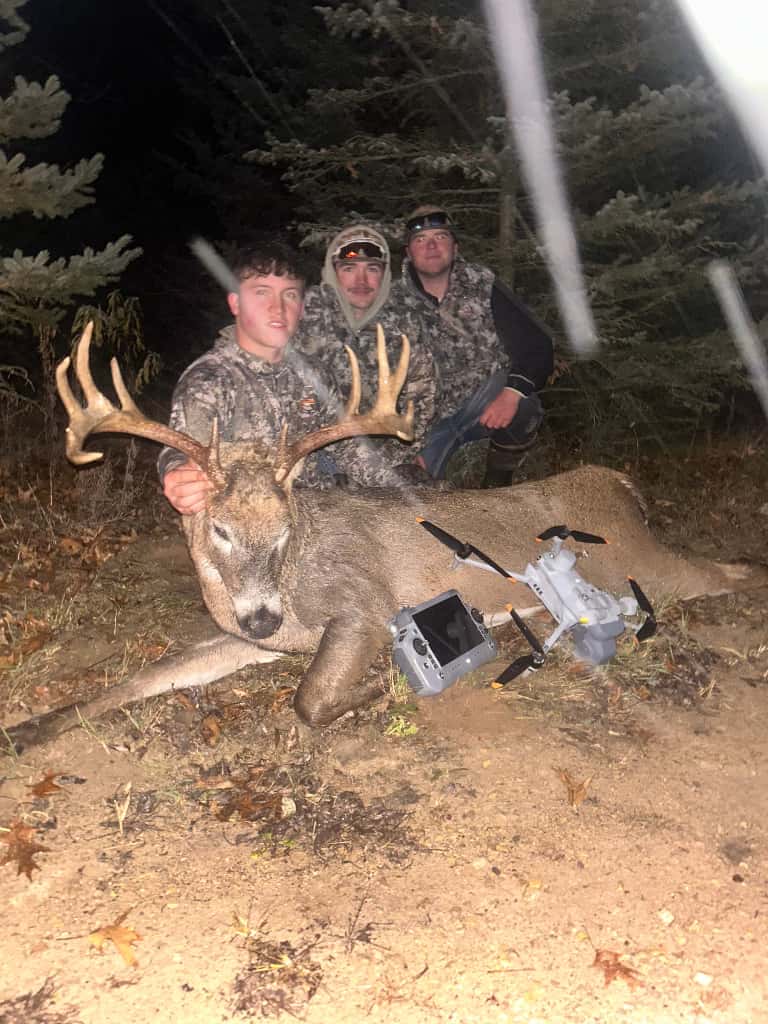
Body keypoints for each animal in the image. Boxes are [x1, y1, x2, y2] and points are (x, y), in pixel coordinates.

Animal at [4, 324, 764, 752]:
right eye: (217, 527)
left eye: (284, 527)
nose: (262, 616)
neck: (292, 586)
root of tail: (619, 484)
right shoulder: (248, 637)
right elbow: (145, 677)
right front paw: (25, 731)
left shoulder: (363, 606)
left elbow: (309, 698)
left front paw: (371, 691)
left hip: (641, 563)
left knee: (728, 571)